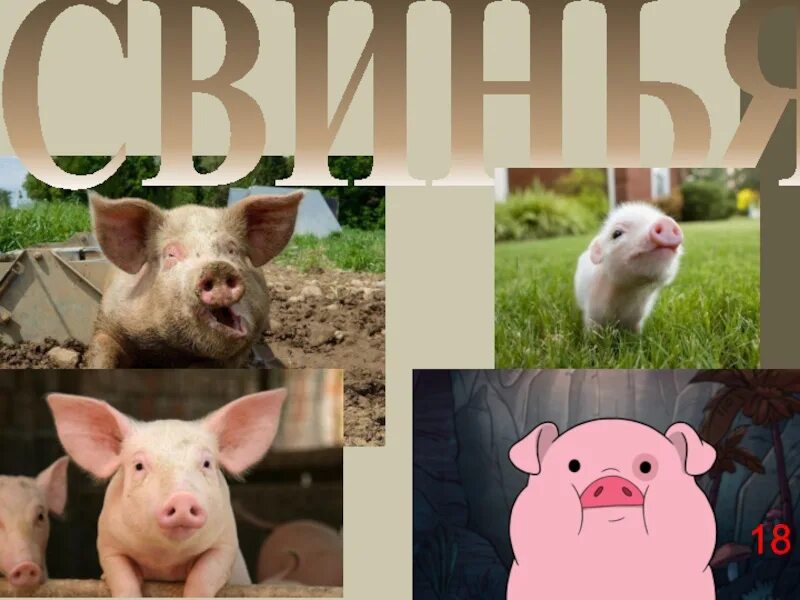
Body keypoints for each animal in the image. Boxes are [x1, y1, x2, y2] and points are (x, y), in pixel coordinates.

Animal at [46, 389, 286, 598]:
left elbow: (204, 576)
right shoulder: (108, 544)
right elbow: (122, 577)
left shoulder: (225, 543)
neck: (165, 560)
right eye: (139, 466)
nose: (182, 499)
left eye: (207, 463)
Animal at [85, 191, 304, 368]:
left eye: (232, 250)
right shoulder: (107, 322)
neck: (172, 352)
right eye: (171, 254)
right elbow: (101, 351)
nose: (218, 267)